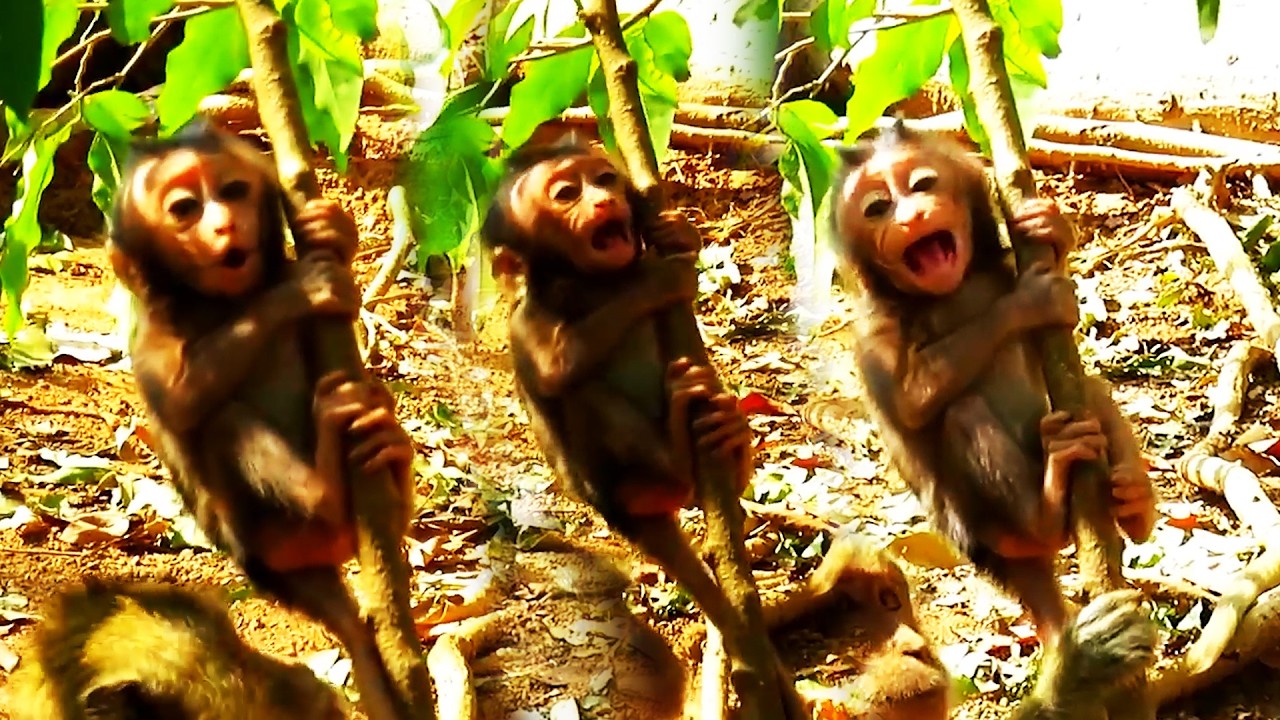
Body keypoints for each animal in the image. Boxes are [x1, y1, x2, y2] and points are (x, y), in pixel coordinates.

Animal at [106, 121, 414, 720]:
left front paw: (335, 233)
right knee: (224, 423)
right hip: (265, 538)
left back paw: (391, 451)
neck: (219, 299)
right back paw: (328, 489)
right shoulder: (147, 330)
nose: (224, 224)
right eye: (184, 209)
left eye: (231, 191)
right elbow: (178, 401)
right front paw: (298, 289)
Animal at [480, 139, 803, 715]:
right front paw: (656, 278)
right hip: (617, 489)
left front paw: (681, 237)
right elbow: (555, 369)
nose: (604, 199)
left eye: (604, 178)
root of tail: (626, 518)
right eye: (568, 193)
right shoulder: (525, 323)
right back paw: (678, 453)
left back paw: (731, 444)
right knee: (584, 395)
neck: (590, 284)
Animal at [829, 121, 1157, 646]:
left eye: (922, 185)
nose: (911, 217)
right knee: (964, 413)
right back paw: (1046, 513)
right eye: (877, 208)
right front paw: (1030, 300)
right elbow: (909, 402)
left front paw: (1051, 229)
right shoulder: (873, 336)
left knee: (1089, 389)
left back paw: (1133, 504)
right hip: (980, 529)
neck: (952, 291)